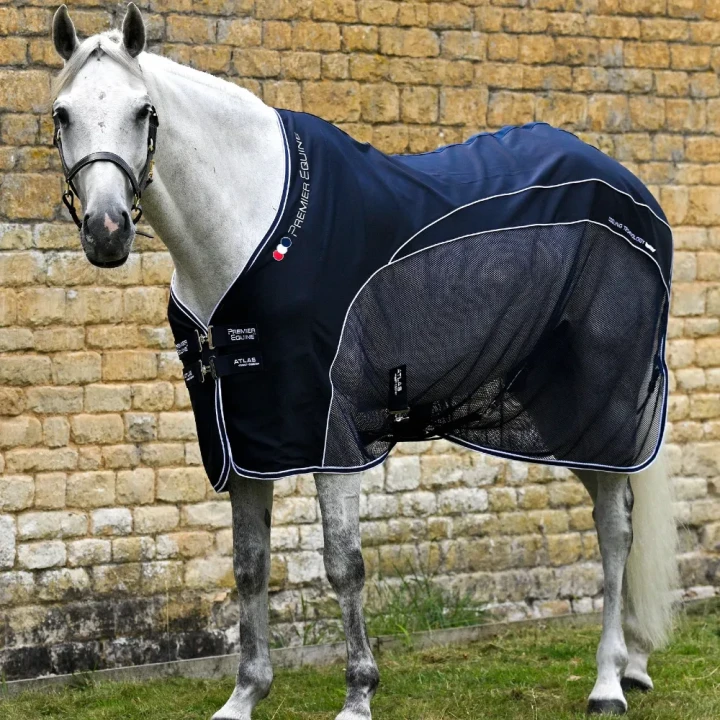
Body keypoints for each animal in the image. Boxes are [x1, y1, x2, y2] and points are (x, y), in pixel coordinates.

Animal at [49, 5, 679, 718]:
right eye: (63, 114)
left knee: (615, 530)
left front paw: (357, 694)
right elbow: (249, 564)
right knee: (615, 516)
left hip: (599, 402)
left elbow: (343, 562)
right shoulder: (246, 437)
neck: (247, 227)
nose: (106, 232)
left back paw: (607, 682)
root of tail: (634, 190)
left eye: (143, 111)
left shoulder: (330, 432)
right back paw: (634, 663)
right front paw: (245, 695)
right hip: (556, 409)